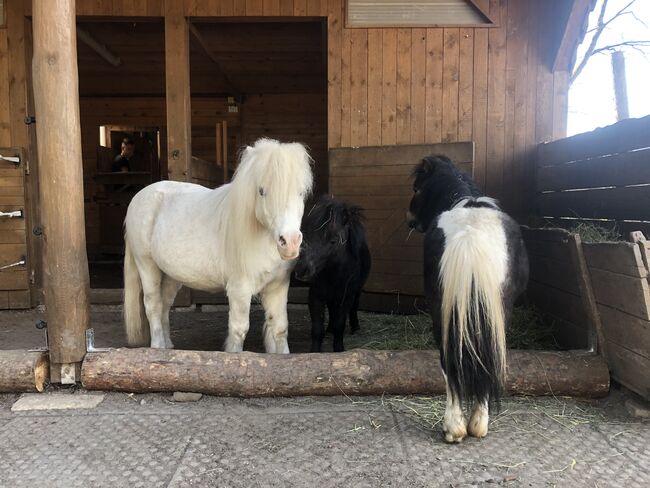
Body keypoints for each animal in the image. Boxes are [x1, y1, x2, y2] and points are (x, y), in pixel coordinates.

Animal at [124, 139, 314, 352]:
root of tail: (139, 197)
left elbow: (280, 329)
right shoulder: (239, 289)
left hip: (171, 274)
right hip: (147, 266)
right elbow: (239, 331)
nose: (289, 242)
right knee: (153, 305)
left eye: (301, 192)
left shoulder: (278, 287)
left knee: (164, 304)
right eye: (261, 191)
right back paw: (158, 347)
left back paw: (169, 345)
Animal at [294, 196, 370, 352]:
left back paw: (355, 327)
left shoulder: (346, 298)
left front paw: (339, 349)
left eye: (333, 240)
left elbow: (340, 325)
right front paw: (315, 351)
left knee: (354, 307)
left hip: (356, 292)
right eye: (306, 235)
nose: (301, 270)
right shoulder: (316, 297)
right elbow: (317, 329)